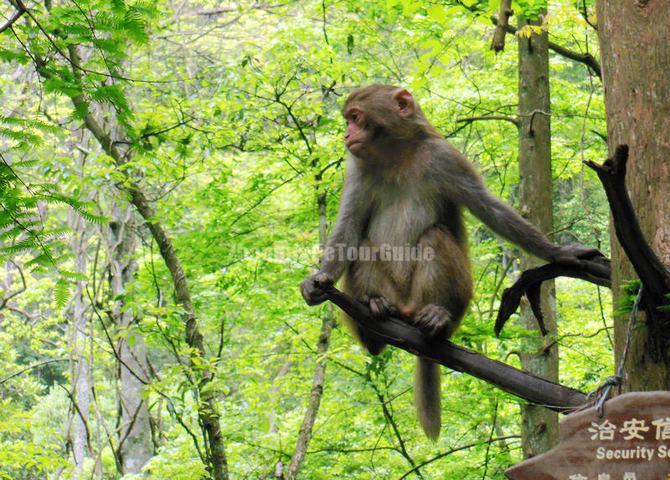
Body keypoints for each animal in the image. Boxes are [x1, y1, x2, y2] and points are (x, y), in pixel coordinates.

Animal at [302, 84, 600, 440]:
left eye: (356, 117)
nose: (347, 134)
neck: (396, 155)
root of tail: (407, 308)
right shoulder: (357, 168)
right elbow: (349, 228)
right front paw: (318, 281)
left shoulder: (445, 157)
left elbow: (490, 209)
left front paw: (559, 253)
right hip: (392, 293)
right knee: (363, 246)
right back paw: (374, 312)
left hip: (451, 300)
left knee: (435, 237)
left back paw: (437, 318)